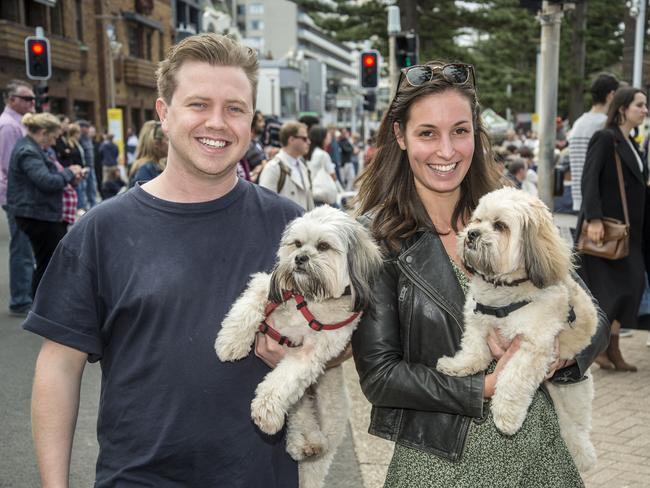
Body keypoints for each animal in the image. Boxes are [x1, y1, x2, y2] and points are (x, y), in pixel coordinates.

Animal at [215, 206, 382, 488]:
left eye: (323, 246)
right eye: (297, 244)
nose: (300, 258)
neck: (310, 299)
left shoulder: (311, 353)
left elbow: (281, 382)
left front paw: (264, 410)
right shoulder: (268, 286)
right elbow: (250, 303)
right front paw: (231, 340)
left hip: (331, 417)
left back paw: (309, 444)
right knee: (300, 413)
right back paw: (304, 441)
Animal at [436, 186, 596, 468]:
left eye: (500, 226)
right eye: (477, 220)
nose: (472, 234)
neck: (503, 296)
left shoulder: (532, 347)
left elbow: (512, 378)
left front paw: (506, 415)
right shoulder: (477, 321)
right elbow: (474, 350)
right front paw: (458, 366)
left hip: (573, 399)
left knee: (578, 436)